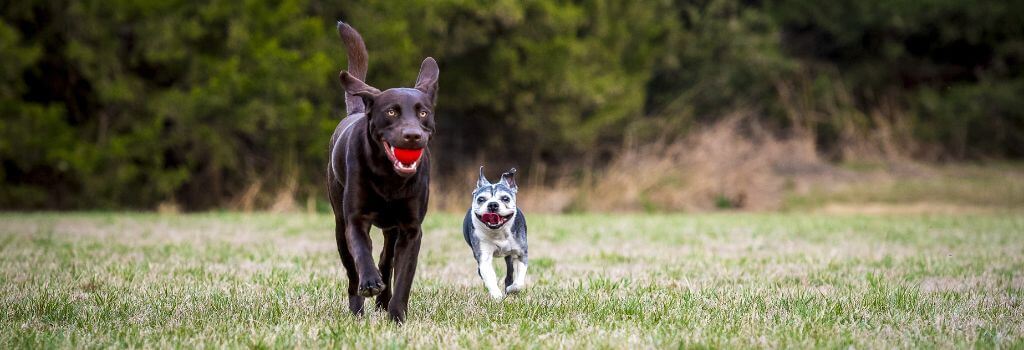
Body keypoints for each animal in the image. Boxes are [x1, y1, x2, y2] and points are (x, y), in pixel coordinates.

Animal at [329, 21, 438, 323]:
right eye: (391, 112)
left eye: (423, 113)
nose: (412, 136)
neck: (390, 178)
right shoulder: (355, 219)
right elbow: (361, 252)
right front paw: (370, 282)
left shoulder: (411, 230)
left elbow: (404, 277)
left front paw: (397, 315)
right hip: (339, 224)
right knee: (352, 271)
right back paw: (358, 307)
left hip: (392, 228)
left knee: (387, 259)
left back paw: (383, 300)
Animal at [464, 166, 528, 298]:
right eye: (481, 199)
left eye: (505, 198)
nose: (493, 204)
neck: (499, 231)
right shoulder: (484, 257)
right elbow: (489, 277)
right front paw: (497, 296)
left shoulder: (521, 254)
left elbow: (519, 282)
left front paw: (511, 289)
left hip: (509, 256)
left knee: (510, 272)